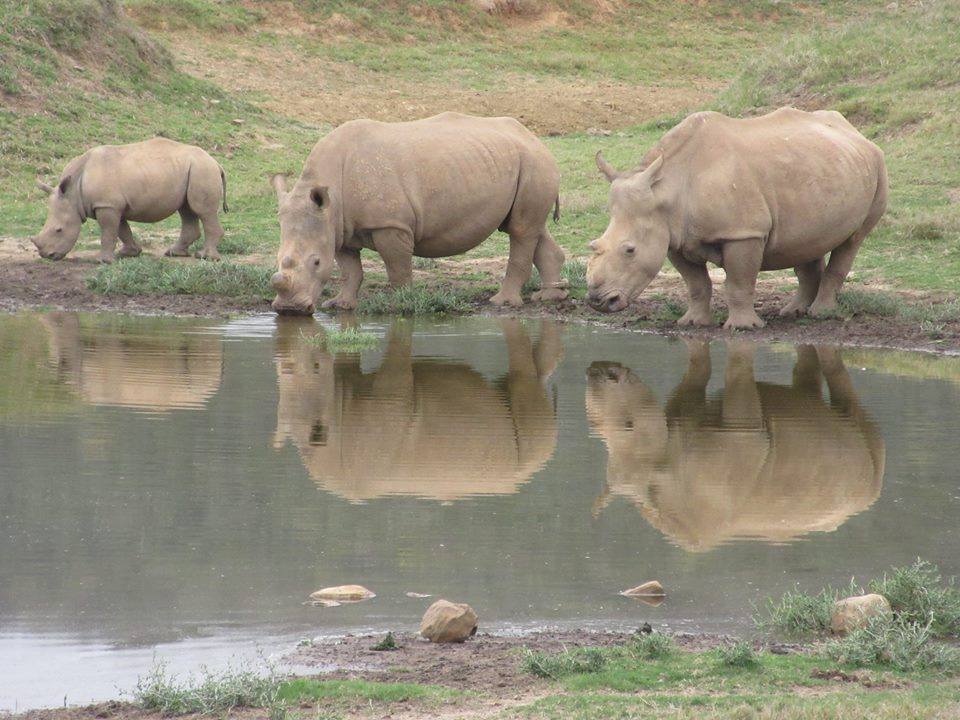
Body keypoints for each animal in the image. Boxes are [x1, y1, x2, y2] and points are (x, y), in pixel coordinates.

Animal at [32, 138, 229, 264]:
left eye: (59, 230)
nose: (46, 255)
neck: (73, 193)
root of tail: (216, 163)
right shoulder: (112, 205)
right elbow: (121, 230)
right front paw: (129, 253)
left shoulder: (106, 205)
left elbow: (108, 232)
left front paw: (103, 261)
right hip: (192, 170)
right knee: (187, 209)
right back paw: (174, 253)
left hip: (202, 170)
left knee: (202, 211)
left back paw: (205, 257)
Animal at [268, 111, 568, 314]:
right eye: (277, 259)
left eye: (316, 262)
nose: (289, 309)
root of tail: (534, 137)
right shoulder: (340, 228)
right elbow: (350, 269)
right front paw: (340, 305)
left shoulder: (390, 225)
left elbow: (397, 268)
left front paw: (400, 304)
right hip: (520, 162)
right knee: (530, 227)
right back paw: (550, 298)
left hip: (534, 162)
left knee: (521, 230)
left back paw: (502, 303)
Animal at [584, 338, 884, 552]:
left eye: (629, 424)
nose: (596, 370)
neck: (662, 469)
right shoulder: (683, 421)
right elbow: (694, 380)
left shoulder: (743, 436)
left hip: (867, 483)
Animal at [588, 107, 888, 330]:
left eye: (630, 250)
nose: (598, 301)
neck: (667, 189)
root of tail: (854, 131)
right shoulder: (674, 237)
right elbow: (696, 283)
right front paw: (693, 323)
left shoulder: (744, 232)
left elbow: (739, 282)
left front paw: (743, 327)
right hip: (821, 167)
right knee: (806, 241)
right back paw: (792, 312)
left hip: (878, 167)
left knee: (853, 240)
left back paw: (820, 314)